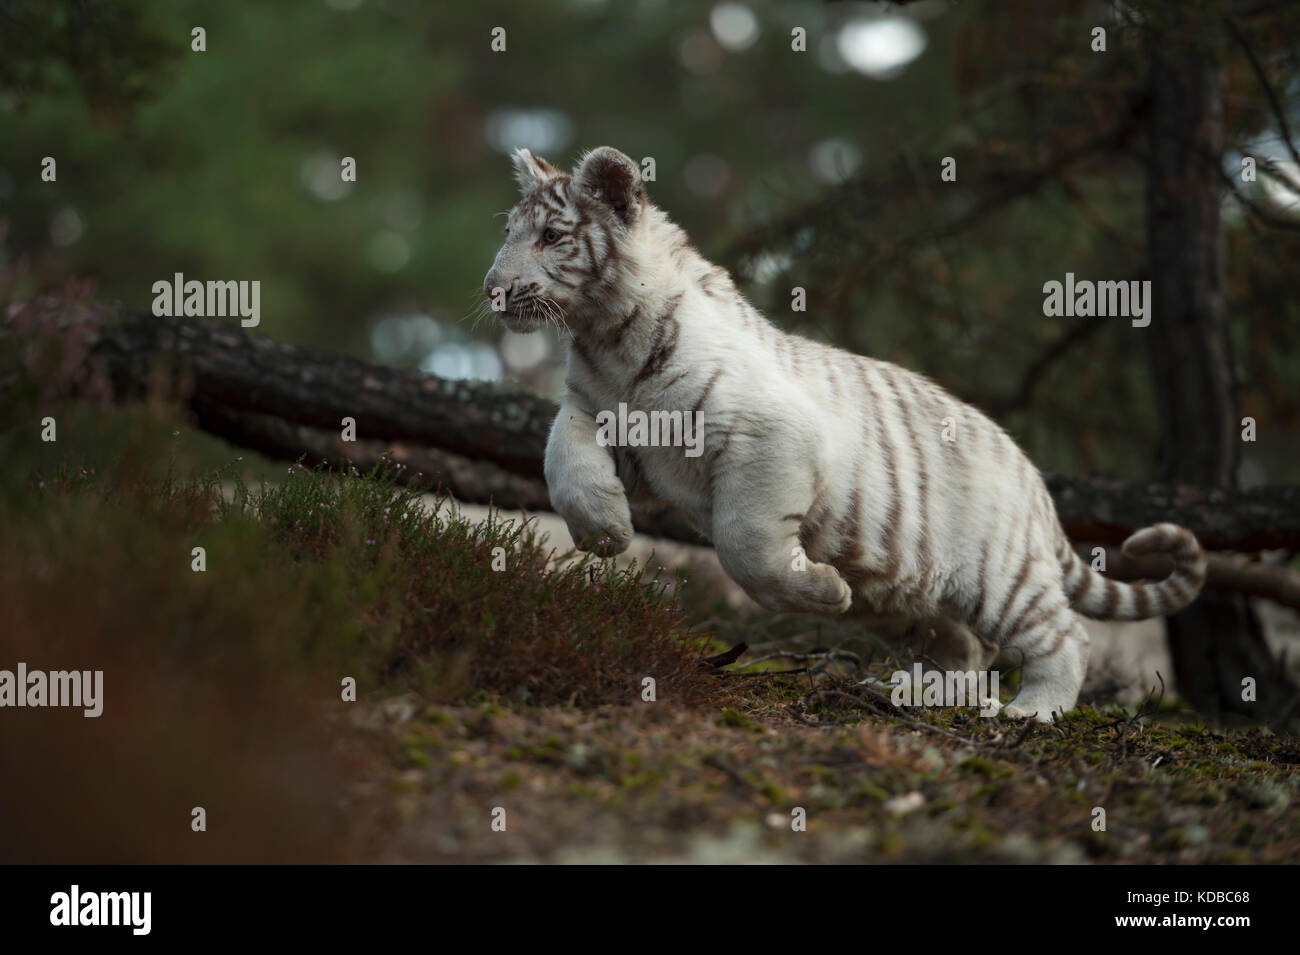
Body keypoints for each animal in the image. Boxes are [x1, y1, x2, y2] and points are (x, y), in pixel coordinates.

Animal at [482, 145, 1207, 722]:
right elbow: (562, 453)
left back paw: (1031, 711)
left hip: (1002, 574)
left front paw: (825, 588)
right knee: (966, 648)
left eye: (551, 236)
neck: (608, 339)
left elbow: (748, 545)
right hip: (908, 600)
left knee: (1061, 637)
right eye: (510, 231)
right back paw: (915, 694)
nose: (492, 290)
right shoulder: (602, 417)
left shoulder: (769, 438)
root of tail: (1035, 479)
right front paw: (603, 529)